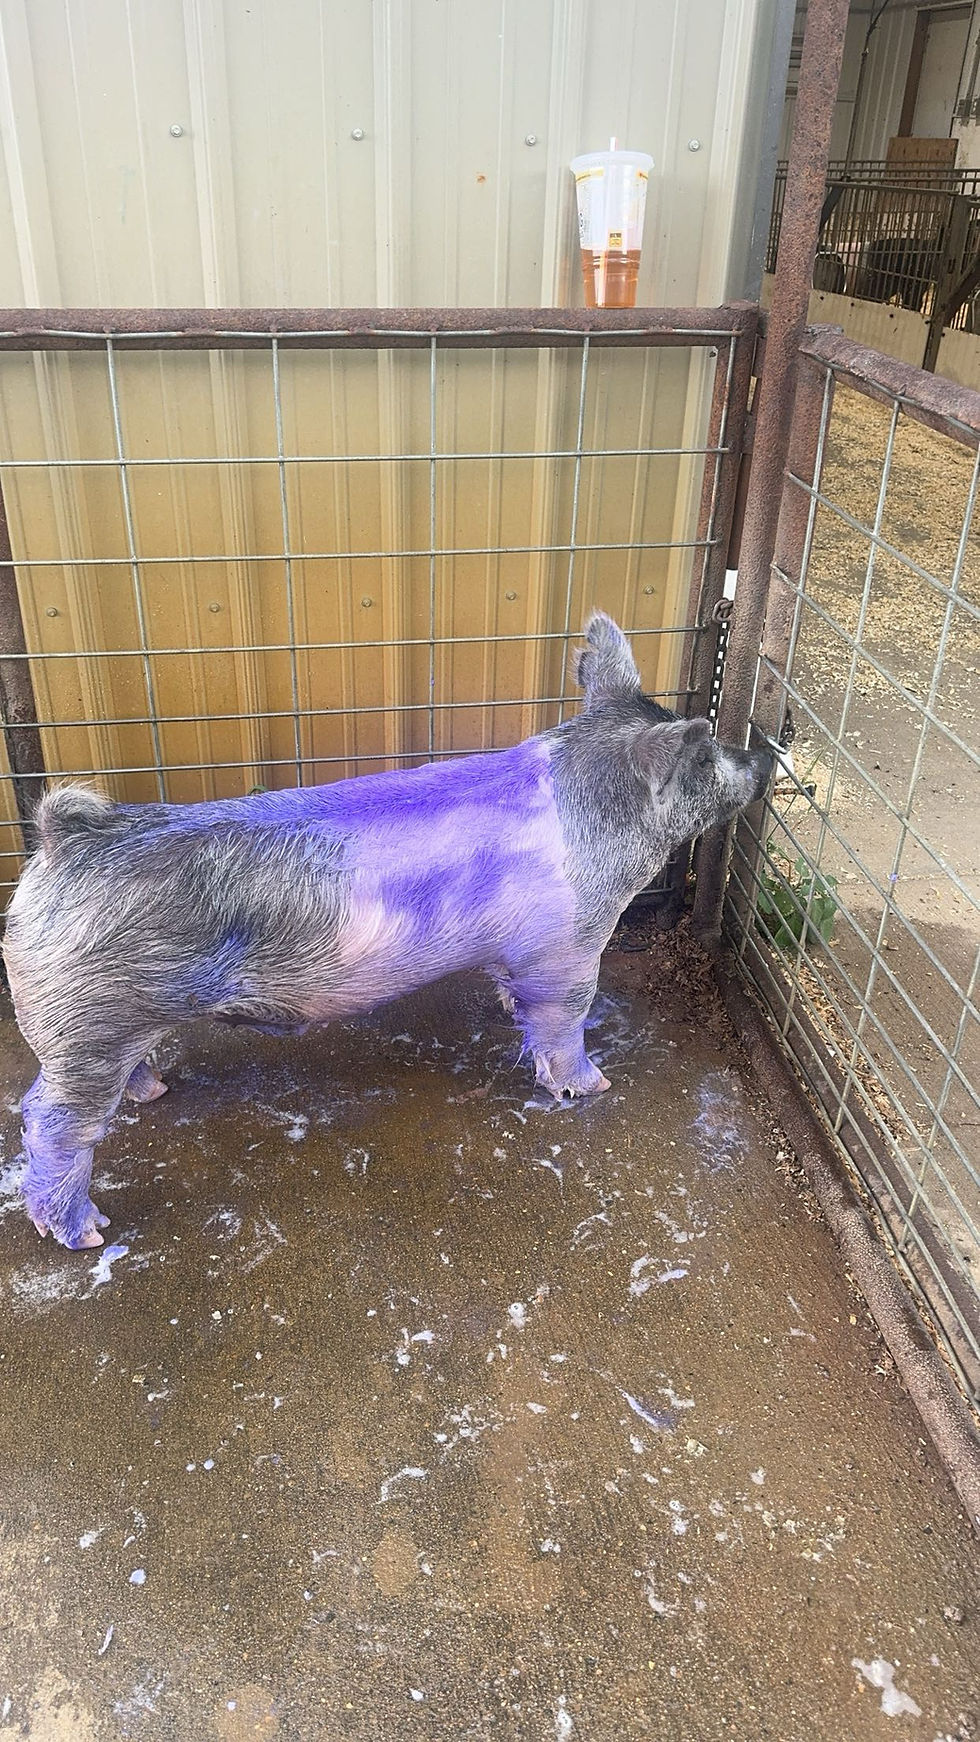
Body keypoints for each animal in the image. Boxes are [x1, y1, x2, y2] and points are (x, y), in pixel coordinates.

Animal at [2, 613, 772, 1250]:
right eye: (706, 757)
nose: (762, 757)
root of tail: (62, 842)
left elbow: (517, 998)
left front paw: (508, 1009)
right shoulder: (570, 944)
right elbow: (564, 1018)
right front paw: (594, 1086)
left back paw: (154, 1091)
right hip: (84, 1025)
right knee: (47, 1117)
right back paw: (86, 1232)